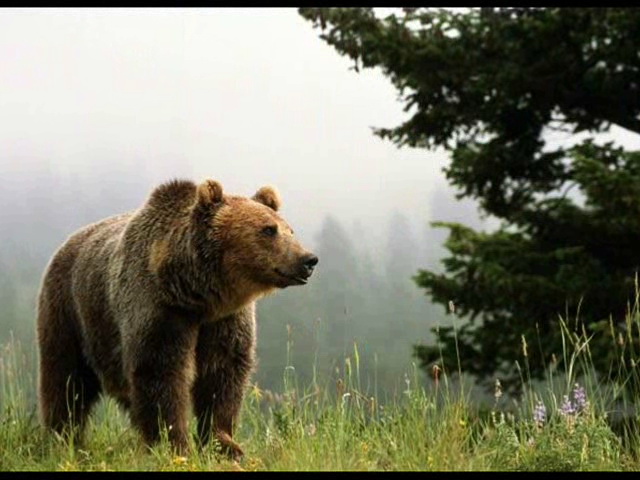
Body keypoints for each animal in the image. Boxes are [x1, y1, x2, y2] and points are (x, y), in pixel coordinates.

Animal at [35, 178, 318, 458]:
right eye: (268, 230)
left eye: (290, 230)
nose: (308, 260)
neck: (196, 295)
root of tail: (68, 242)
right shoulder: (160, 311)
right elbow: (161, 373)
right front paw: (174, 444)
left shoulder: (224, 321)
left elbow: (222, 374)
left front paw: (225, 444)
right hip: (70, 312)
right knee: (66, 380)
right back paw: (62, 438)